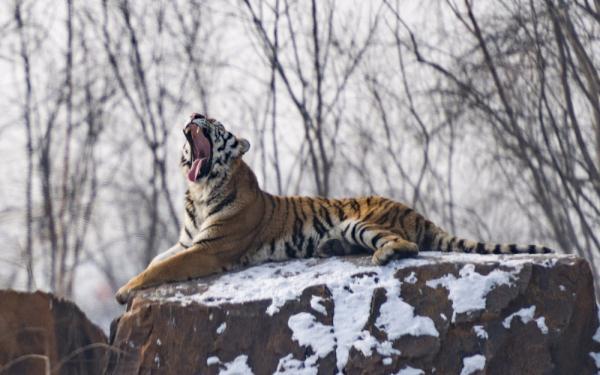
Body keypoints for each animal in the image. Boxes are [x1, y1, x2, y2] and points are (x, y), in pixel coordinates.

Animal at [113, 114, 552, 306]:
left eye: (216, 124)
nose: (195, 115)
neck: (201, 188)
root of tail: (416, 211)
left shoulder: (209, 248)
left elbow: (160, 269)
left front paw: (124, 291)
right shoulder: (186, 241)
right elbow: (156, 260)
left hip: (363, 223)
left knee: (406, 244)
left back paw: (381, 255)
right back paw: (330, 249)